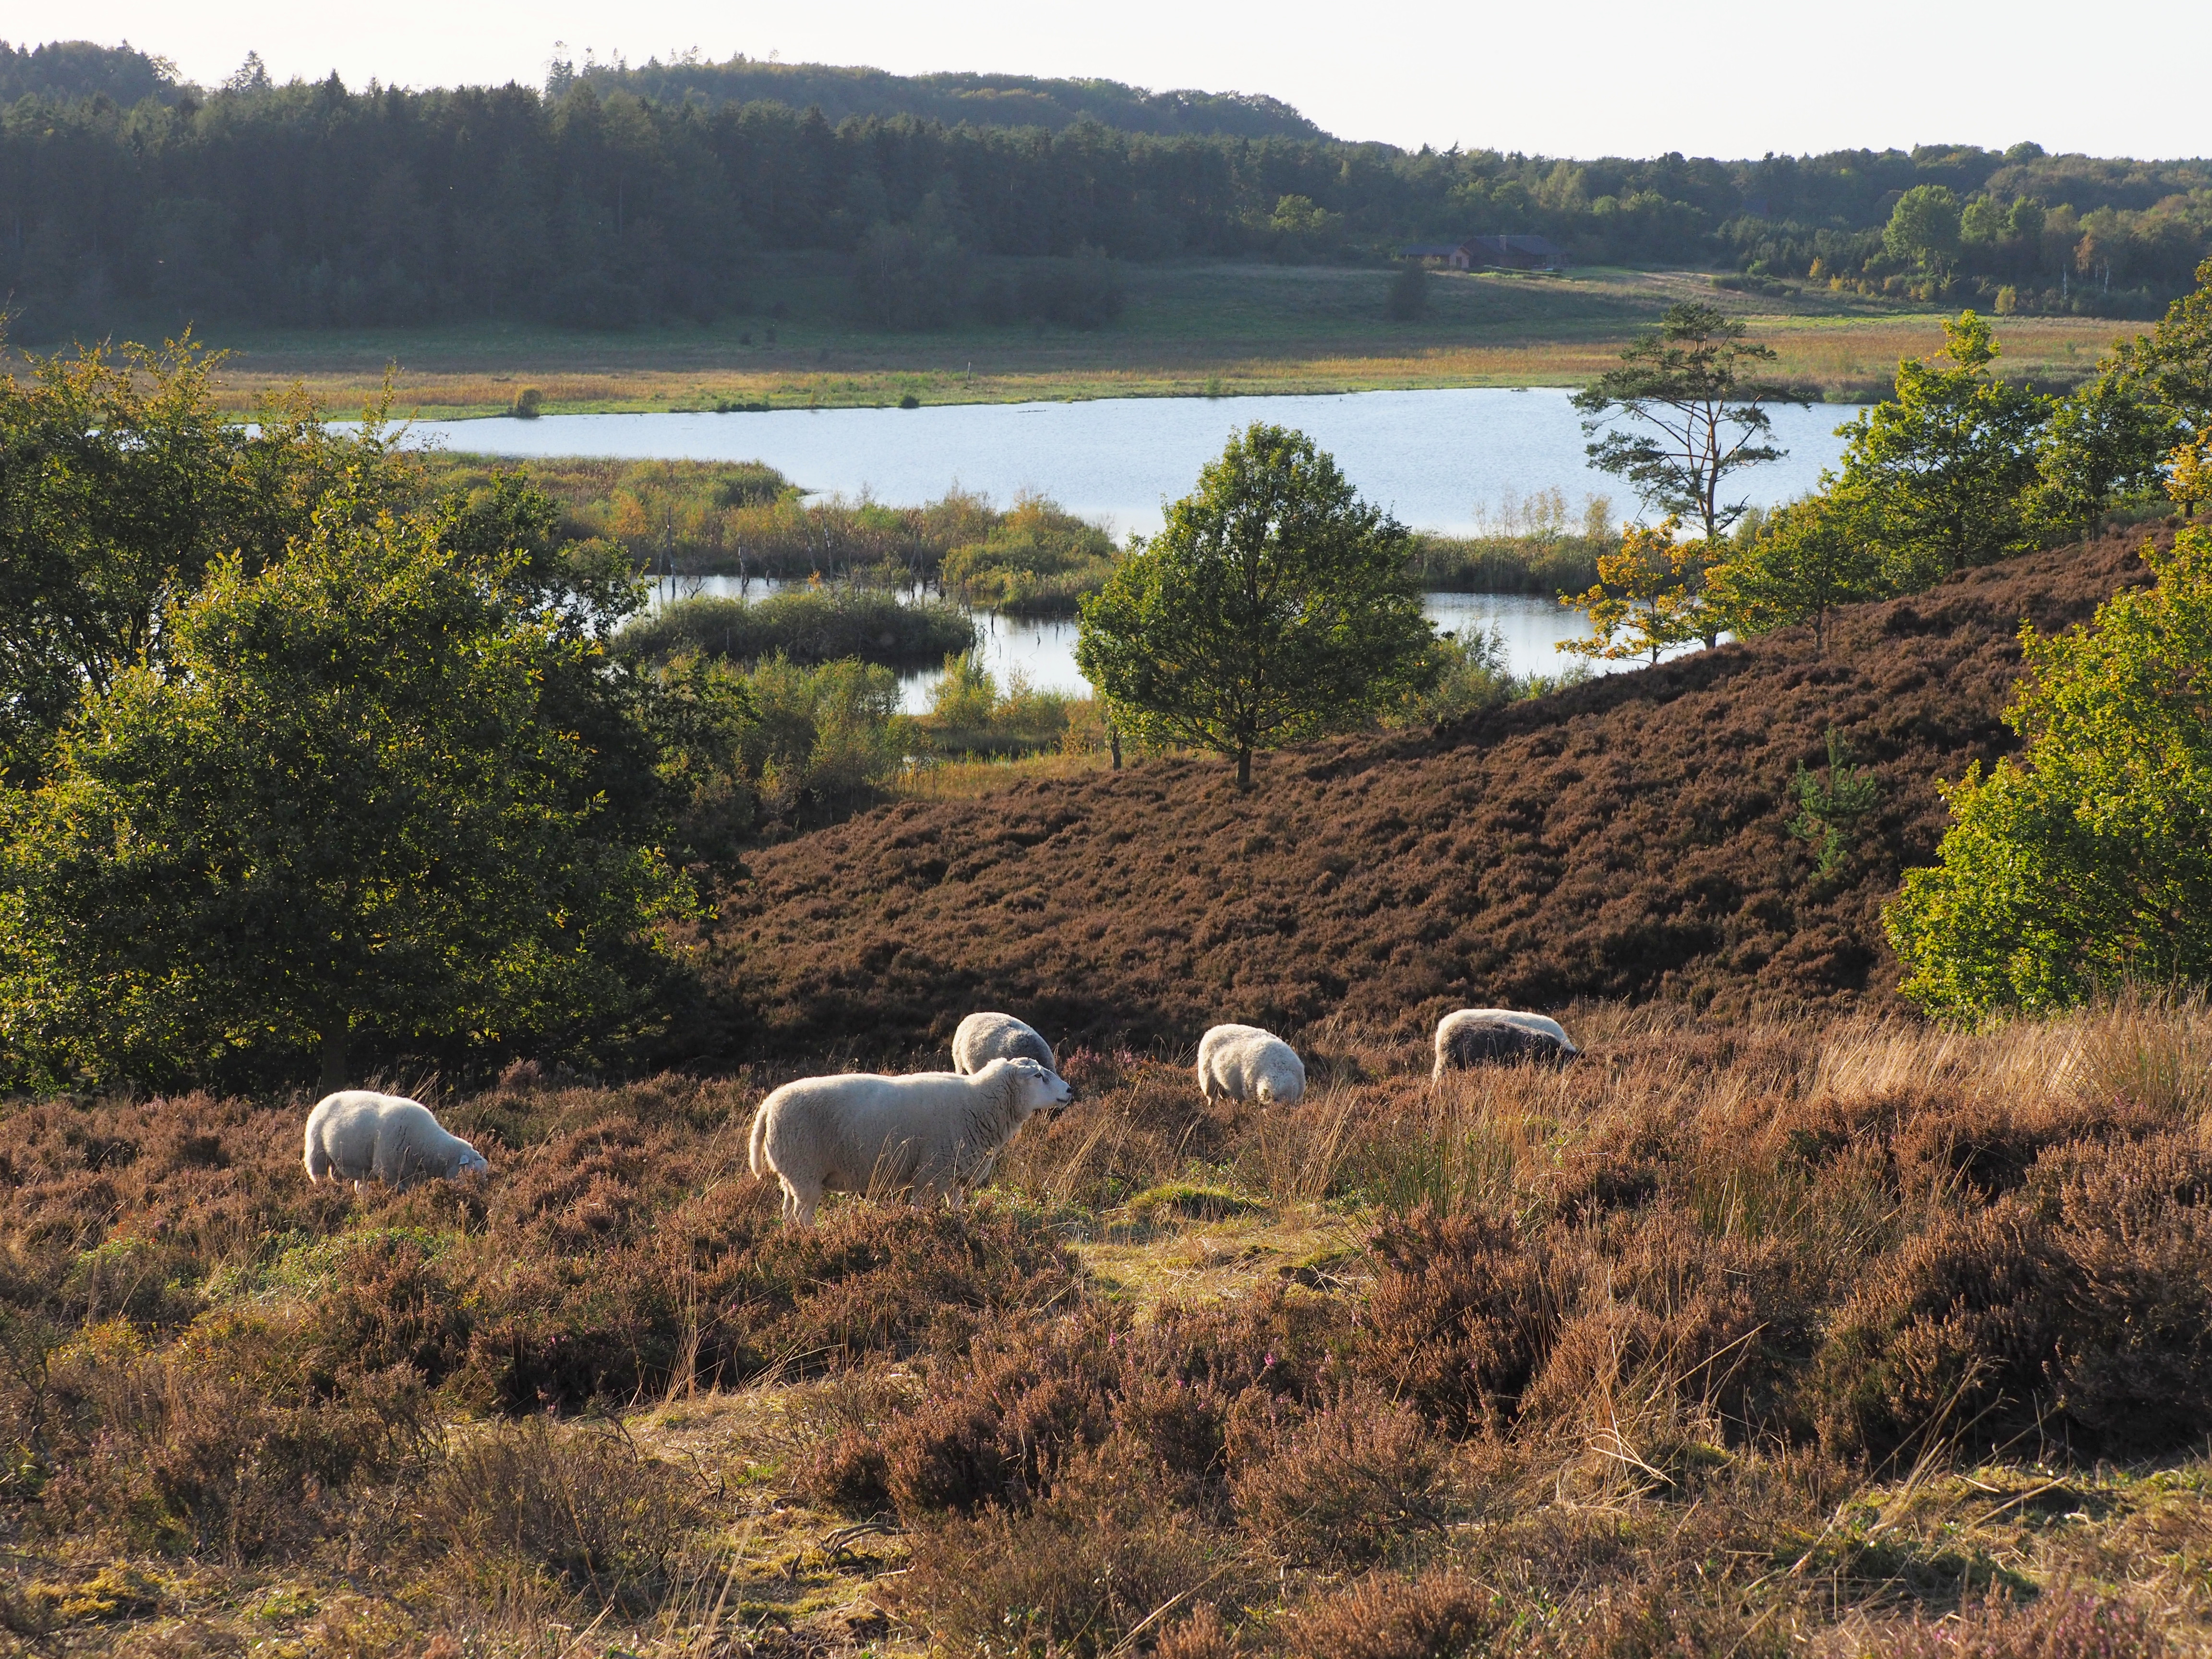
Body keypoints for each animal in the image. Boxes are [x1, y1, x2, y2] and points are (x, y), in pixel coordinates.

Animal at [303, 1093, 489, 1194]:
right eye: (472, 1170)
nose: (478, 1191)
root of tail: (327, 1098)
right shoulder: (389, 1172)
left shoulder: (411, 1176)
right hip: (317, 1153)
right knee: (318, 1175)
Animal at [743, 1057, 1070, 1230]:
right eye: (1038, 1075)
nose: (1069, 1091)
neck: (978, 1103)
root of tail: (768, 1107)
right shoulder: (930, 1170)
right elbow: (920, 1207)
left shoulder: (950, 1173)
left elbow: (956, 1206)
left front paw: (959, 1226)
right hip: (806, 1171)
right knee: (802, 1217)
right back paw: (812, 1240)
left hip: (793, 1174)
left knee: (787, 1214)